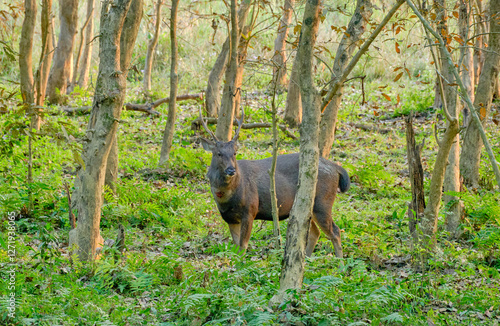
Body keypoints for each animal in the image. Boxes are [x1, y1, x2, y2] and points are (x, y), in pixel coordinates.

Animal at [197, 109, 350, 258]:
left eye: (234, 153)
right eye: (218, 154)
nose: (231, 170)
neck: (227, 197)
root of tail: (336, 168)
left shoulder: (250, 210)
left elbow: (243, 247)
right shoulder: (230, 218)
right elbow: (236, 248)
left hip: (323, 202)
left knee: (335, 231)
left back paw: (339, 263)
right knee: (315, 232)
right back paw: (306, 259)